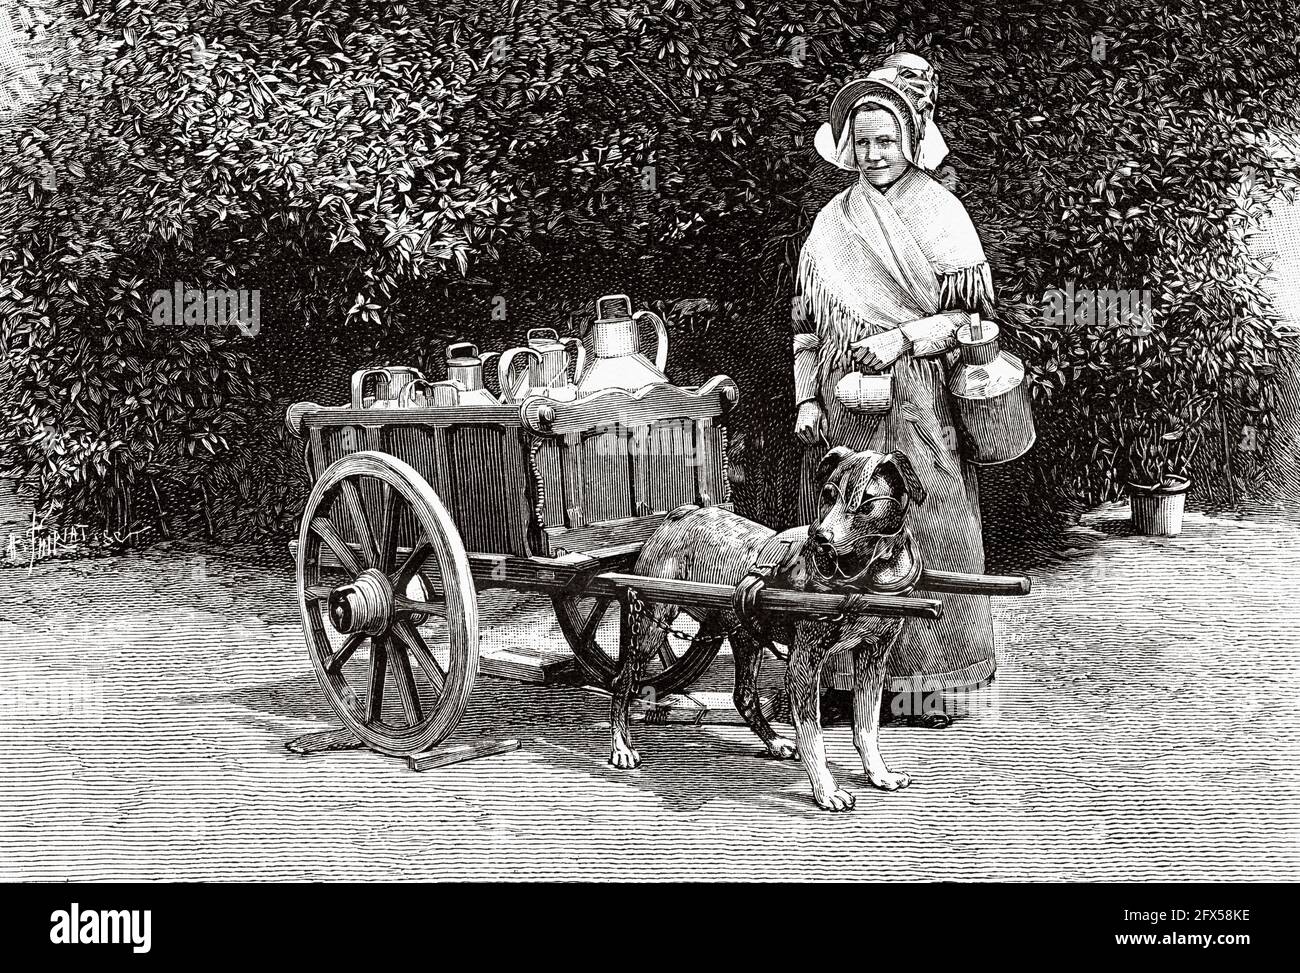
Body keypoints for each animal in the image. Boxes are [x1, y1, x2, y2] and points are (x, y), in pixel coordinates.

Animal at [608, 444, 925, 811]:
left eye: (865, 502)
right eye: (828, 495)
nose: (820, 537)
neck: (861, 579)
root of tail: (678, 516)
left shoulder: (874, 655)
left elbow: (866, 725)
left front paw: (879, 774)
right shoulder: (805, 663)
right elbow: (813, 734)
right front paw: (826, 791)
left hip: (744, 635)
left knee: (744, 696)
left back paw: (773, 741)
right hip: (650, 627)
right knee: (622, 681)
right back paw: (621, 747)